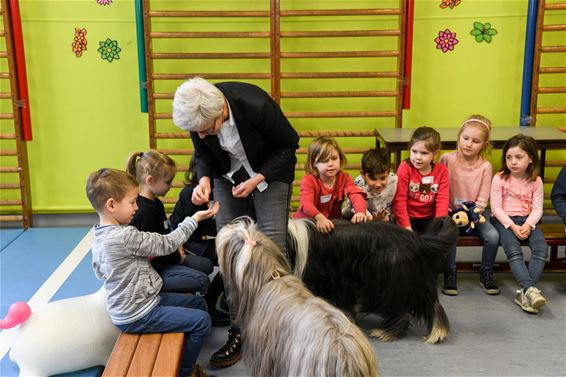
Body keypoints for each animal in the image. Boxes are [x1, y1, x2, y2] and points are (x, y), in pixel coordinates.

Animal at [288, 217, 462, 344]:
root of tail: (417, 240)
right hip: (413, 281)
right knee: (431, 304)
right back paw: (437, 332)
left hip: (392, 283)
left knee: (403, 311)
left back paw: (386, 332)